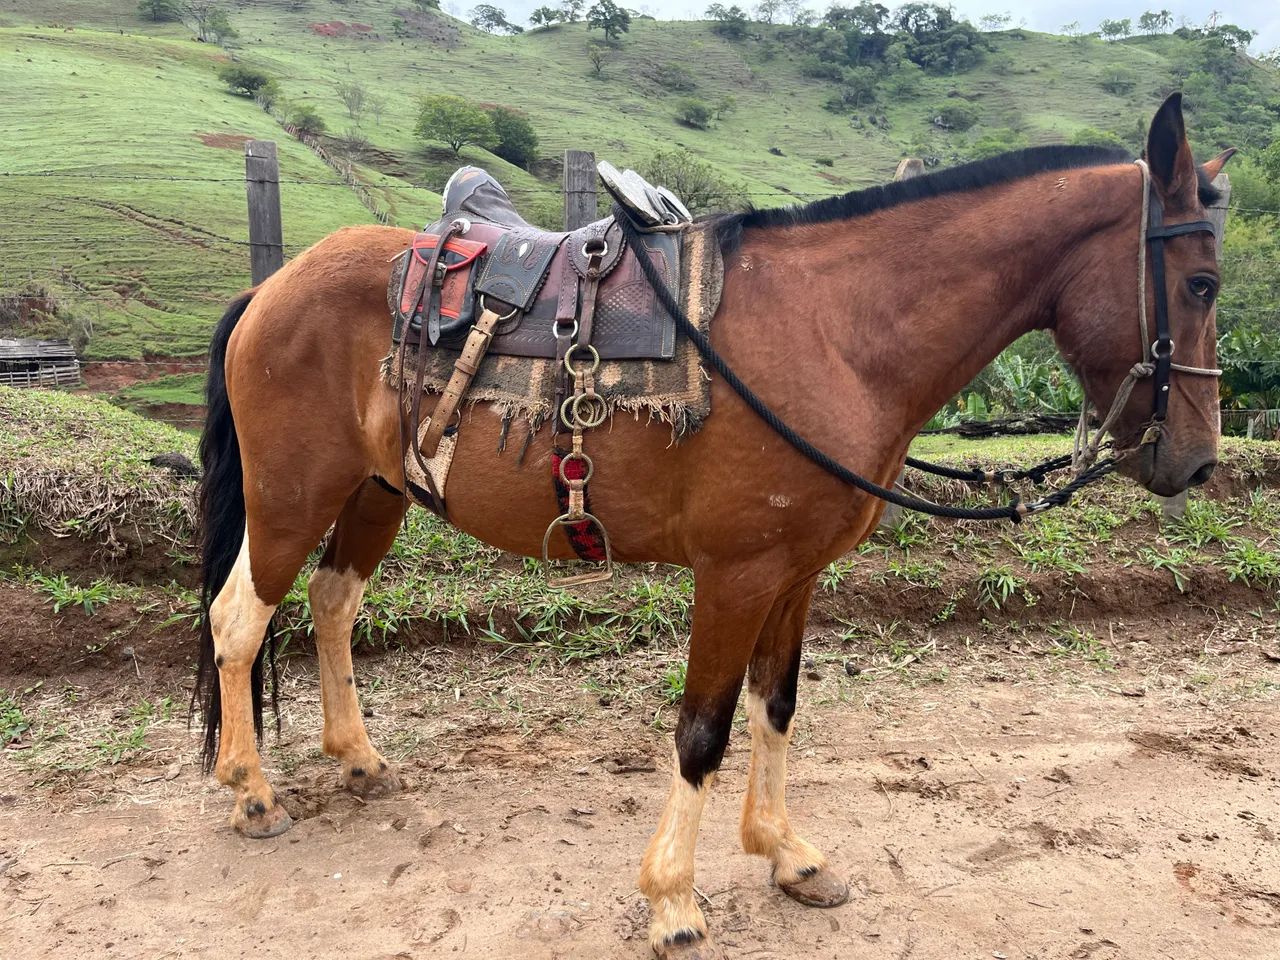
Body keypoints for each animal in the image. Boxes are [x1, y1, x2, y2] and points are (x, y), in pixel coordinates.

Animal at [194, 94, 1231, 958]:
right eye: (1203, 285)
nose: (1196, 460)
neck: (833, 332)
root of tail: (271, 290)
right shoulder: (736, 573)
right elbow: (703, 729)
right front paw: (674, 901)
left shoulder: (796, 572)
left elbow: (778, 706)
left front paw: (787, 854)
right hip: (293, 495)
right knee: (239, 620)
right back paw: (250, 791)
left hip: (378, 489)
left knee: (332, 601)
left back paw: (357, 758)